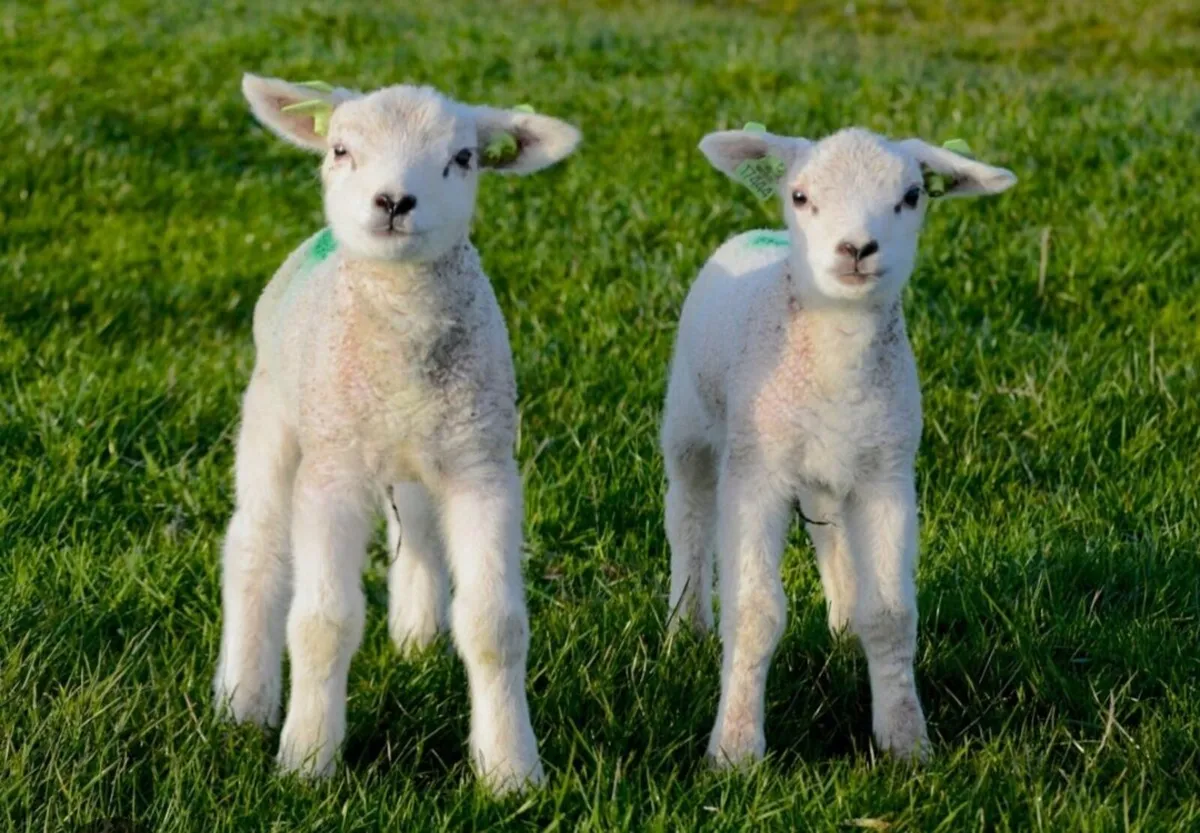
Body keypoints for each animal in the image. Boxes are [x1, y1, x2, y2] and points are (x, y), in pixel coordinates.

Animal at [212, 73, 580, 793]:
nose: (393, 201)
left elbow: (495, 624)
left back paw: (416, 638)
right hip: (275, 413)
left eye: (464, 158)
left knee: (416, 530)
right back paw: (244, 700)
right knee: (256, 545)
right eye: (340, 149)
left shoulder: (482, 466)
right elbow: (323, 622)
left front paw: (510, 771)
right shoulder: (331, 472)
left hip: (417, 447)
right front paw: (307, 761)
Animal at [661, 125, 1015, 765]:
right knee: (690, 517)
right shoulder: (755, 474)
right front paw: (735, 751)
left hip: (833, 466)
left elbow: (893, 614)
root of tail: (762, 235)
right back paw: (686, 627)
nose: (856, 248)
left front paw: (905, 743)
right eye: (800, 196)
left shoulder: (888, 474)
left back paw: (845, 627)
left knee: (828, 531)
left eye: (912, 196)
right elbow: (754, 613)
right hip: (690, 422)